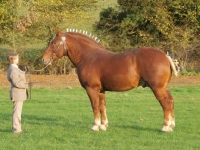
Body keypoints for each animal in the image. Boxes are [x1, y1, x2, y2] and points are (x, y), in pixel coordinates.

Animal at [41, 28, 178, 132]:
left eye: (54, 43)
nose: (43, 59)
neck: (89, 57)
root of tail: (165, 55)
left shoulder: (92, 89)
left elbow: (95, 105)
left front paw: (95, 126)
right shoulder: (101, 90)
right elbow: (102, 106)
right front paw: (103, 125)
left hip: (158, 88)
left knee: (165, 103)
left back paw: (166, 127)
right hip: (163, 87)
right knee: (171, 101)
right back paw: (171, 125)